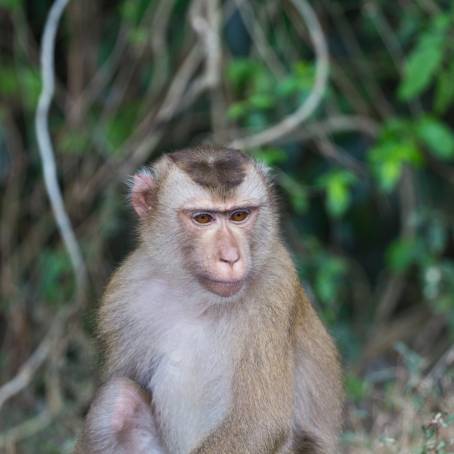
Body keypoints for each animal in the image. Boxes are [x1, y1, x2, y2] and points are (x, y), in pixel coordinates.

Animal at [75, 147, 344, 452]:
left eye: (239, 215)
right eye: (203, 218)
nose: (230, 257)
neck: (199, 299)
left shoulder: (276, 285)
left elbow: (259, 424)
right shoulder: (124, 294)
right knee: (117, 402)